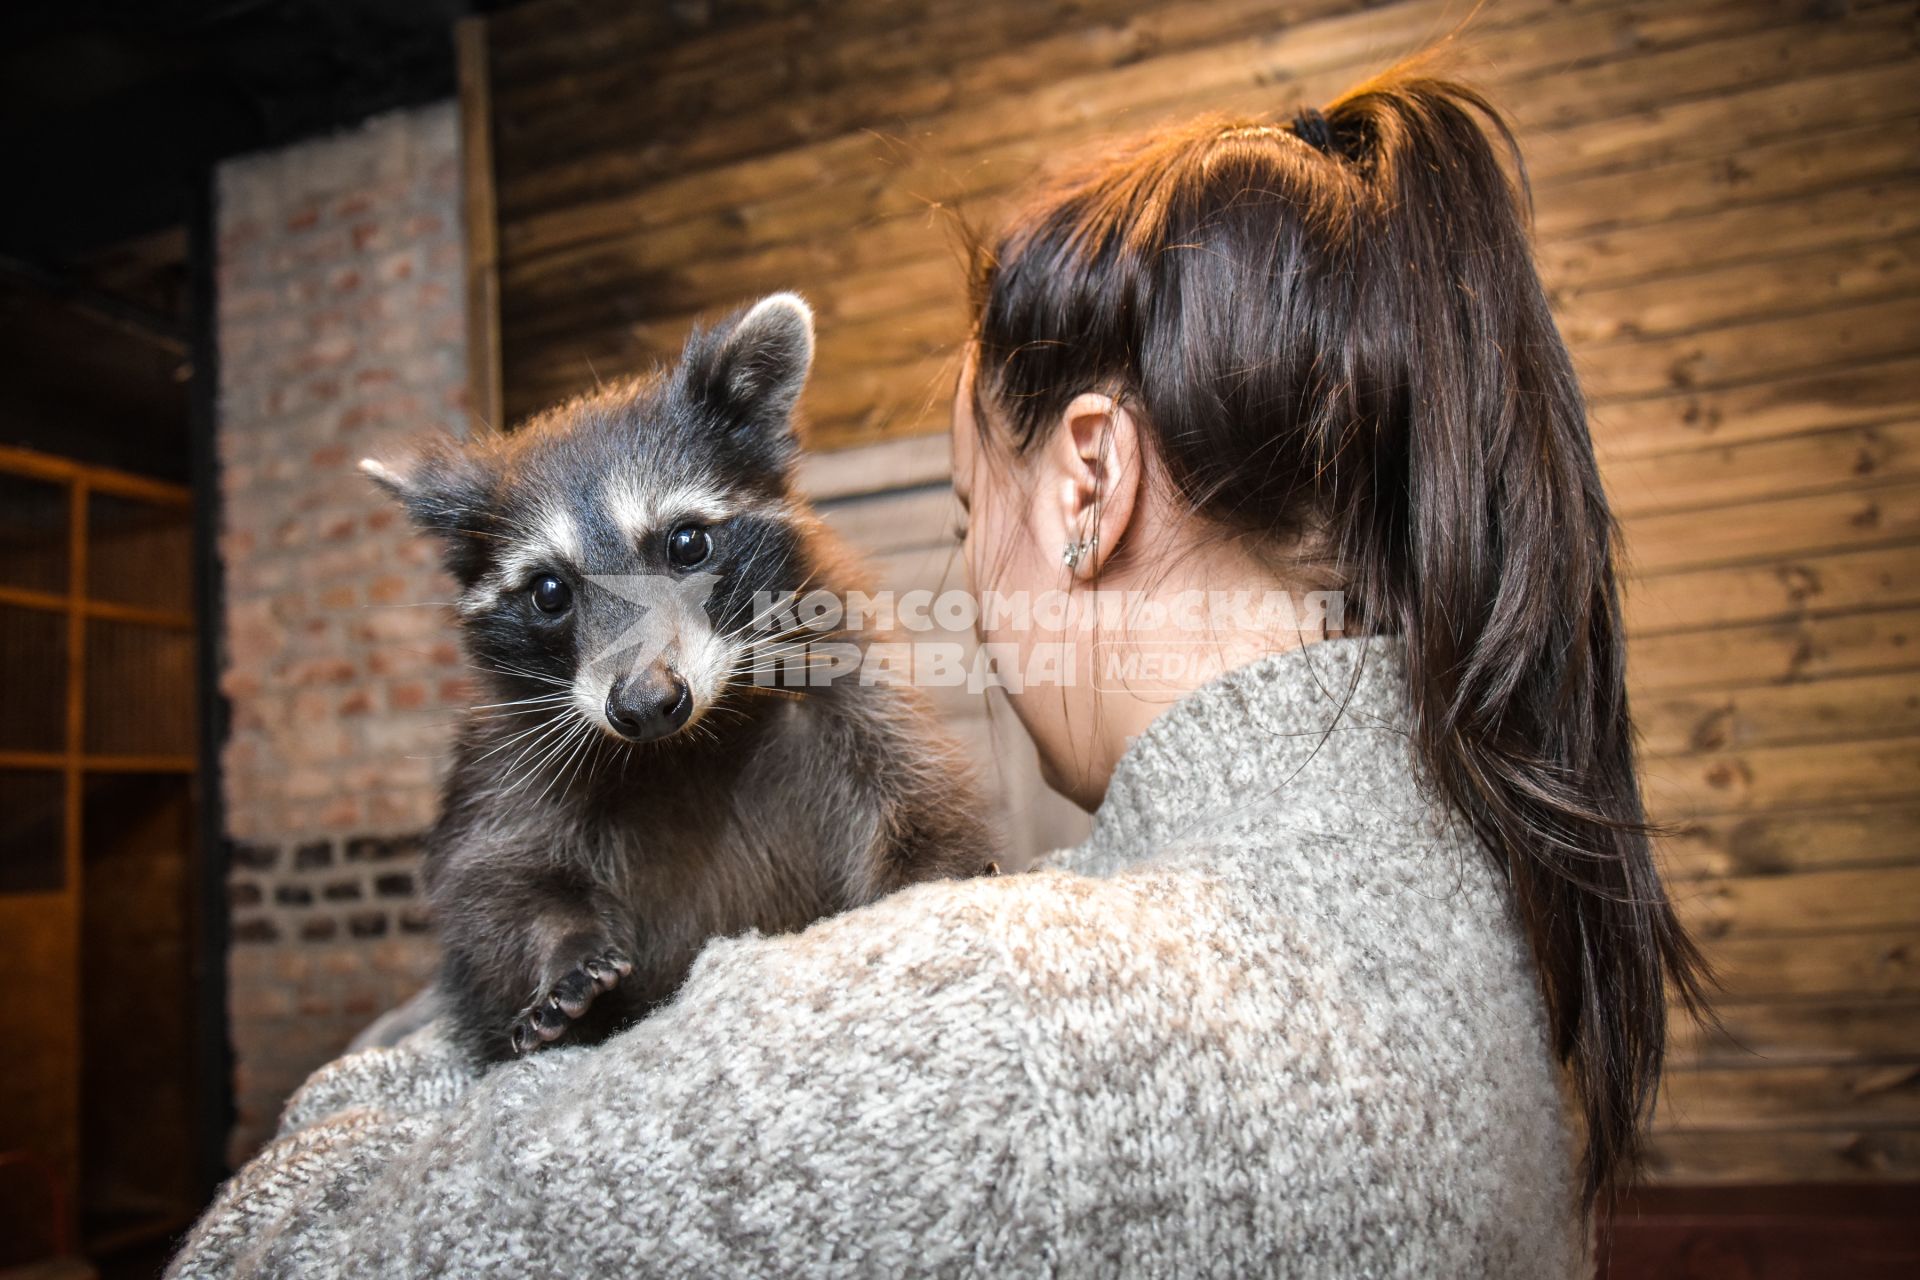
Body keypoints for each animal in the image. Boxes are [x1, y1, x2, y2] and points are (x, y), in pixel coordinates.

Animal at [360, 297, 998, 1059]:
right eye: (549, 591)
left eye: (687, 542)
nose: (646, 704)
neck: (690, 741)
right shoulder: (512, 758)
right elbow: (492, 882)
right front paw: (560, 947)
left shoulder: (849, 683)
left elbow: (911, 790)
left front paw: (930, 880)